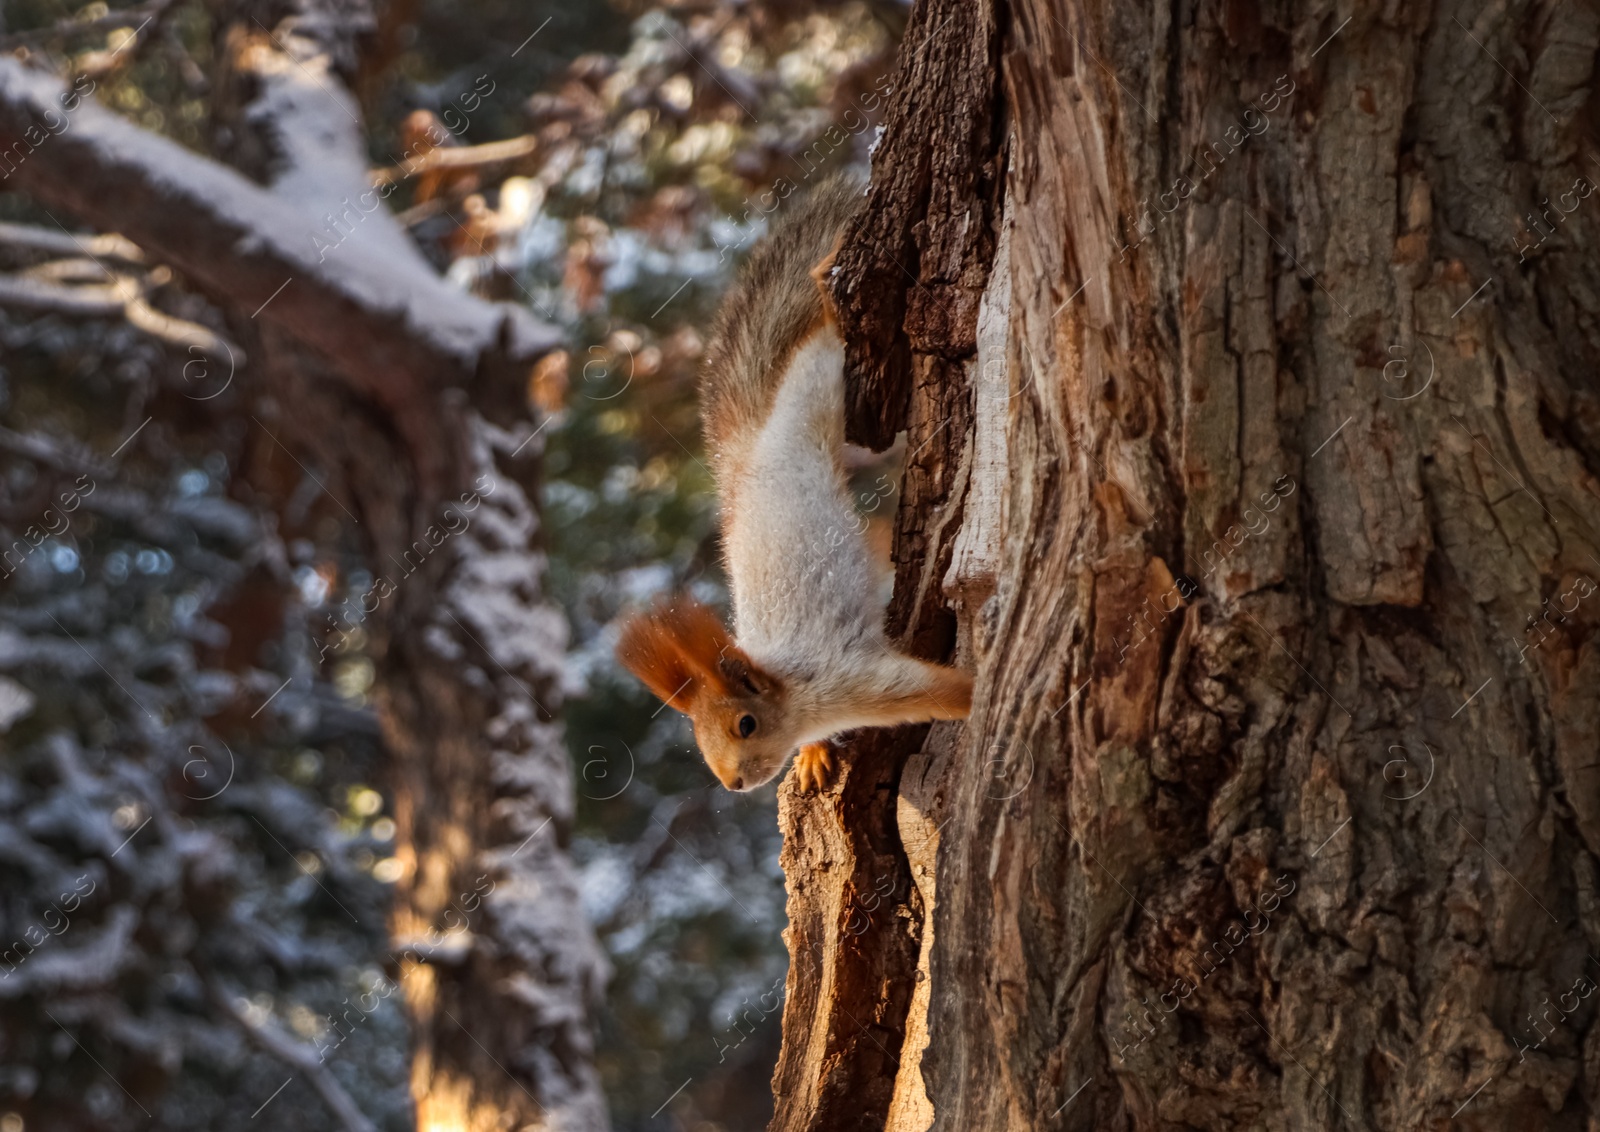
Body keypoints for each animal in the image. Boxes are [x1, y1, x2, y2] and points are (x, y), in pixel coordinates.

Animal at [614, 179, 972, 796]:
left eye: (746, 723)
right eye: (700, 740)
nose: (733, 785)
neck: (792, 689)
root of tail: (751, 455)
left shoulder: (851, 679)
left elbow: (940, 693)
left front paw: (979, 693)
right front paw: (813, 756)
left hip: (813, 394)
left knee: (818, 339)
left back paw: (825, 285)